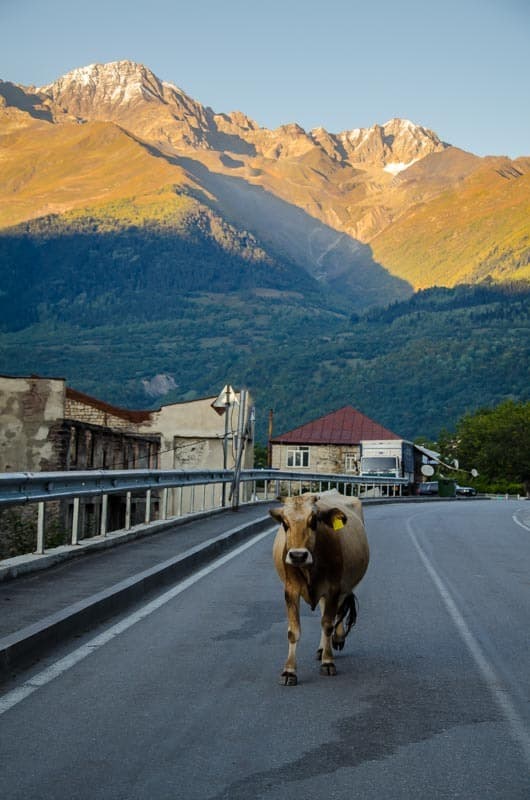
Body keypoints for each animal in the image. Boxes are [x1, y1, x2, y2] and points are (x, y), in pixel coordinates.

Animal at [268, 490, 368, 684]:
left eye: (314, 521)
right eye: (284, 522)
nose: (298, 555)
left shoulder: (334, 589)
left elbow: (328, 624)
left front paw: (327, 662)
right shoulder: (290, 591)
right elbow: (293, 631)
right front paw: (289, 671)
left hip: (344, 587)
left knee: (336, 613)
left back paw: (336, 639)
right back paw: (322, 648)